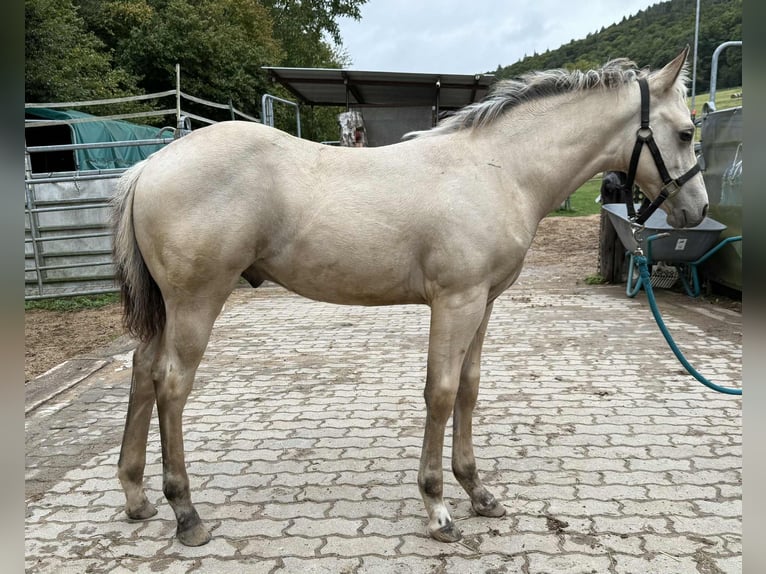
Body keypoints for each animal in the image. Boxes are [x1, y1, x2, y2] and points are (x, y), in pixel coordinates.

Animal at [111, 47, 707, 547]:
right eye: (685, 133)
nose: (696, 210)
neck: (499, 170)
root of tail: (148, 165)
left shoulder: (483, 304)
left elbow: (468, 389)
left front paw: (478, 492)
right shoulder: (456, 302)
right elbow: (440, 394)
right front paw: (438, 508)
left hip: (168, 310)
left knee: (142, 371)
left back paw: (138, 498)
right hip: (196, 303)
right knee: (171, 385)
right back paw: (186, 513)